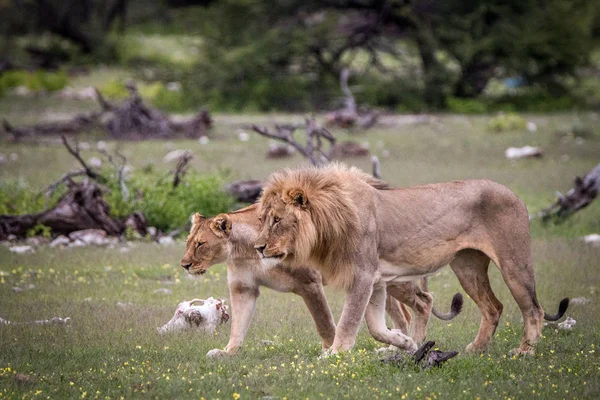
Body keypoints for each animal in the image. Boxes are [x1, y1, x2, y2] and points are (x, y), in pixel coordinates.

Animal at [180, 206, 462, 356]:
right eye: (188, 242)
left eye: (201, 244)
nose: (184, 265)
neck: (244, 251)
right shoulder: (243, 289)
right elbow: (238, 326)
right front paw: (227, 353)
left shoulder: (309, 283)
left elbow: (325, 323)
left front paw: (331, 352)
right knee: (402, 314)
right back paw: (397, 347)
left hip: (396, 278)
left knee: (424, 301)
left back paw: (414, 344)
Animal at [254, 163, 568, 356]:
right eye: (261, 220)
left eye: (277, 220)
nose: (258, 248)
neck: (327, 225)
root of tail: (513, 193)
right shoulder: (376, 281)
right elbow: (376, 327)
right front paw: (403, 342)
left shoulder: (363, 275)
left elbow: (349, 321)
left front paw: (334, 354)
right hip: (467, 267)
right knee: (493, 307)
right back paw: (472, 349)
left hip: (514, 263)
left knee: (534, 309)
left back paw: (525, 351)